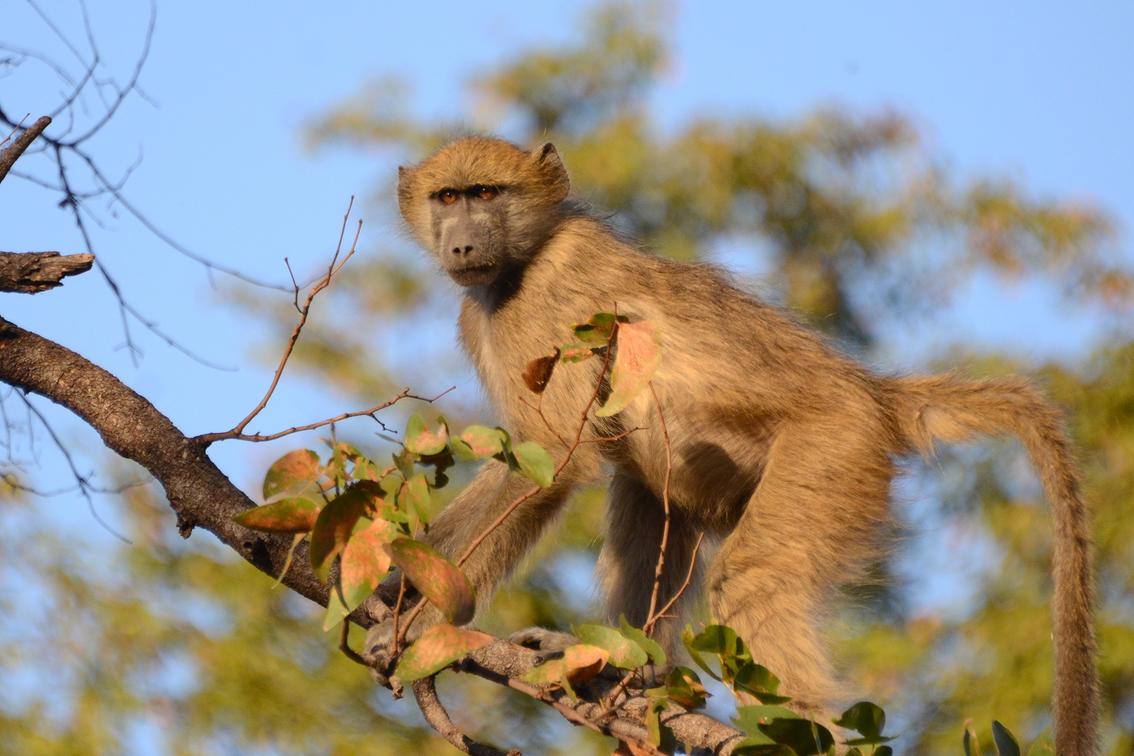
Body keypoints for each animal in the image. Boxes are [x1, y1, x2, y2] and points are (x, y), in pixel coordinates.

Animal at [370, 135, 1098, 753]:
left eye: (488, 193)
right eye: (448, 199)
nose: (463, 248)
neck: (524, 259)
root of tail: (870, 392)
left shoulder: (541, 306)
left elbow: (548, 462)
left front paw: (415, 613)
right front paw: (394, 589)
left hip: (833, 448)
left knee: (749, 579)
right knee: (649, 491)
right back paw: (637, 669)